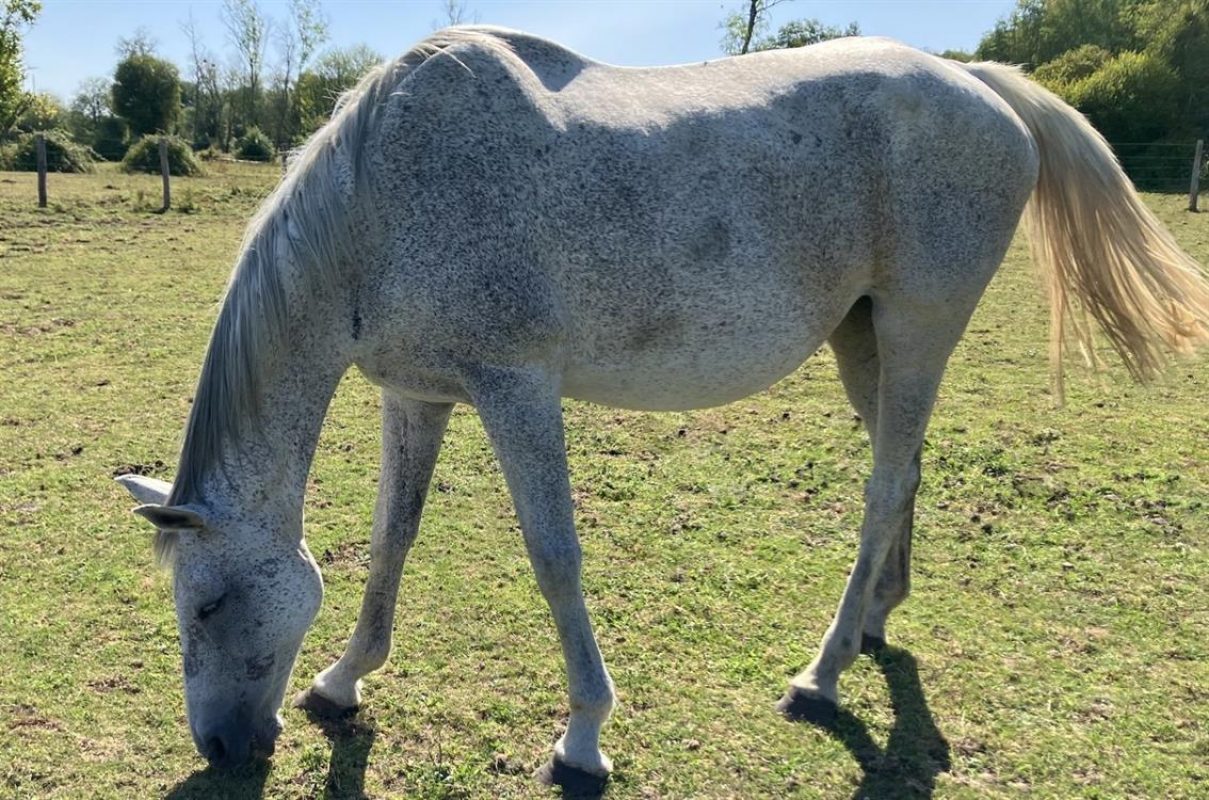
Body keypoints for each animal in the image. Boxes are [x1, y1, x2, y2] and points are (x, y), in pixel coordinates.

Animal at [116, 26, 1209, 790]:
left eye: (207, 602)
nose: (221, 746)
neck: (383, 196)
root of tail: (983, 82)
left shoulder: (516, 388)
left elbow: (554, 558)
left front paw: (582, 736)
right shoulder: (416, 396)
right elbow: (392, 538)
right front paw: (344, 682)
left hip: (915, 328)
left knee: (882, 483)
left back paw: (821, 673)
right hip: (867, 342)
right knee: (907, 467)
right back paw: (873, 623)